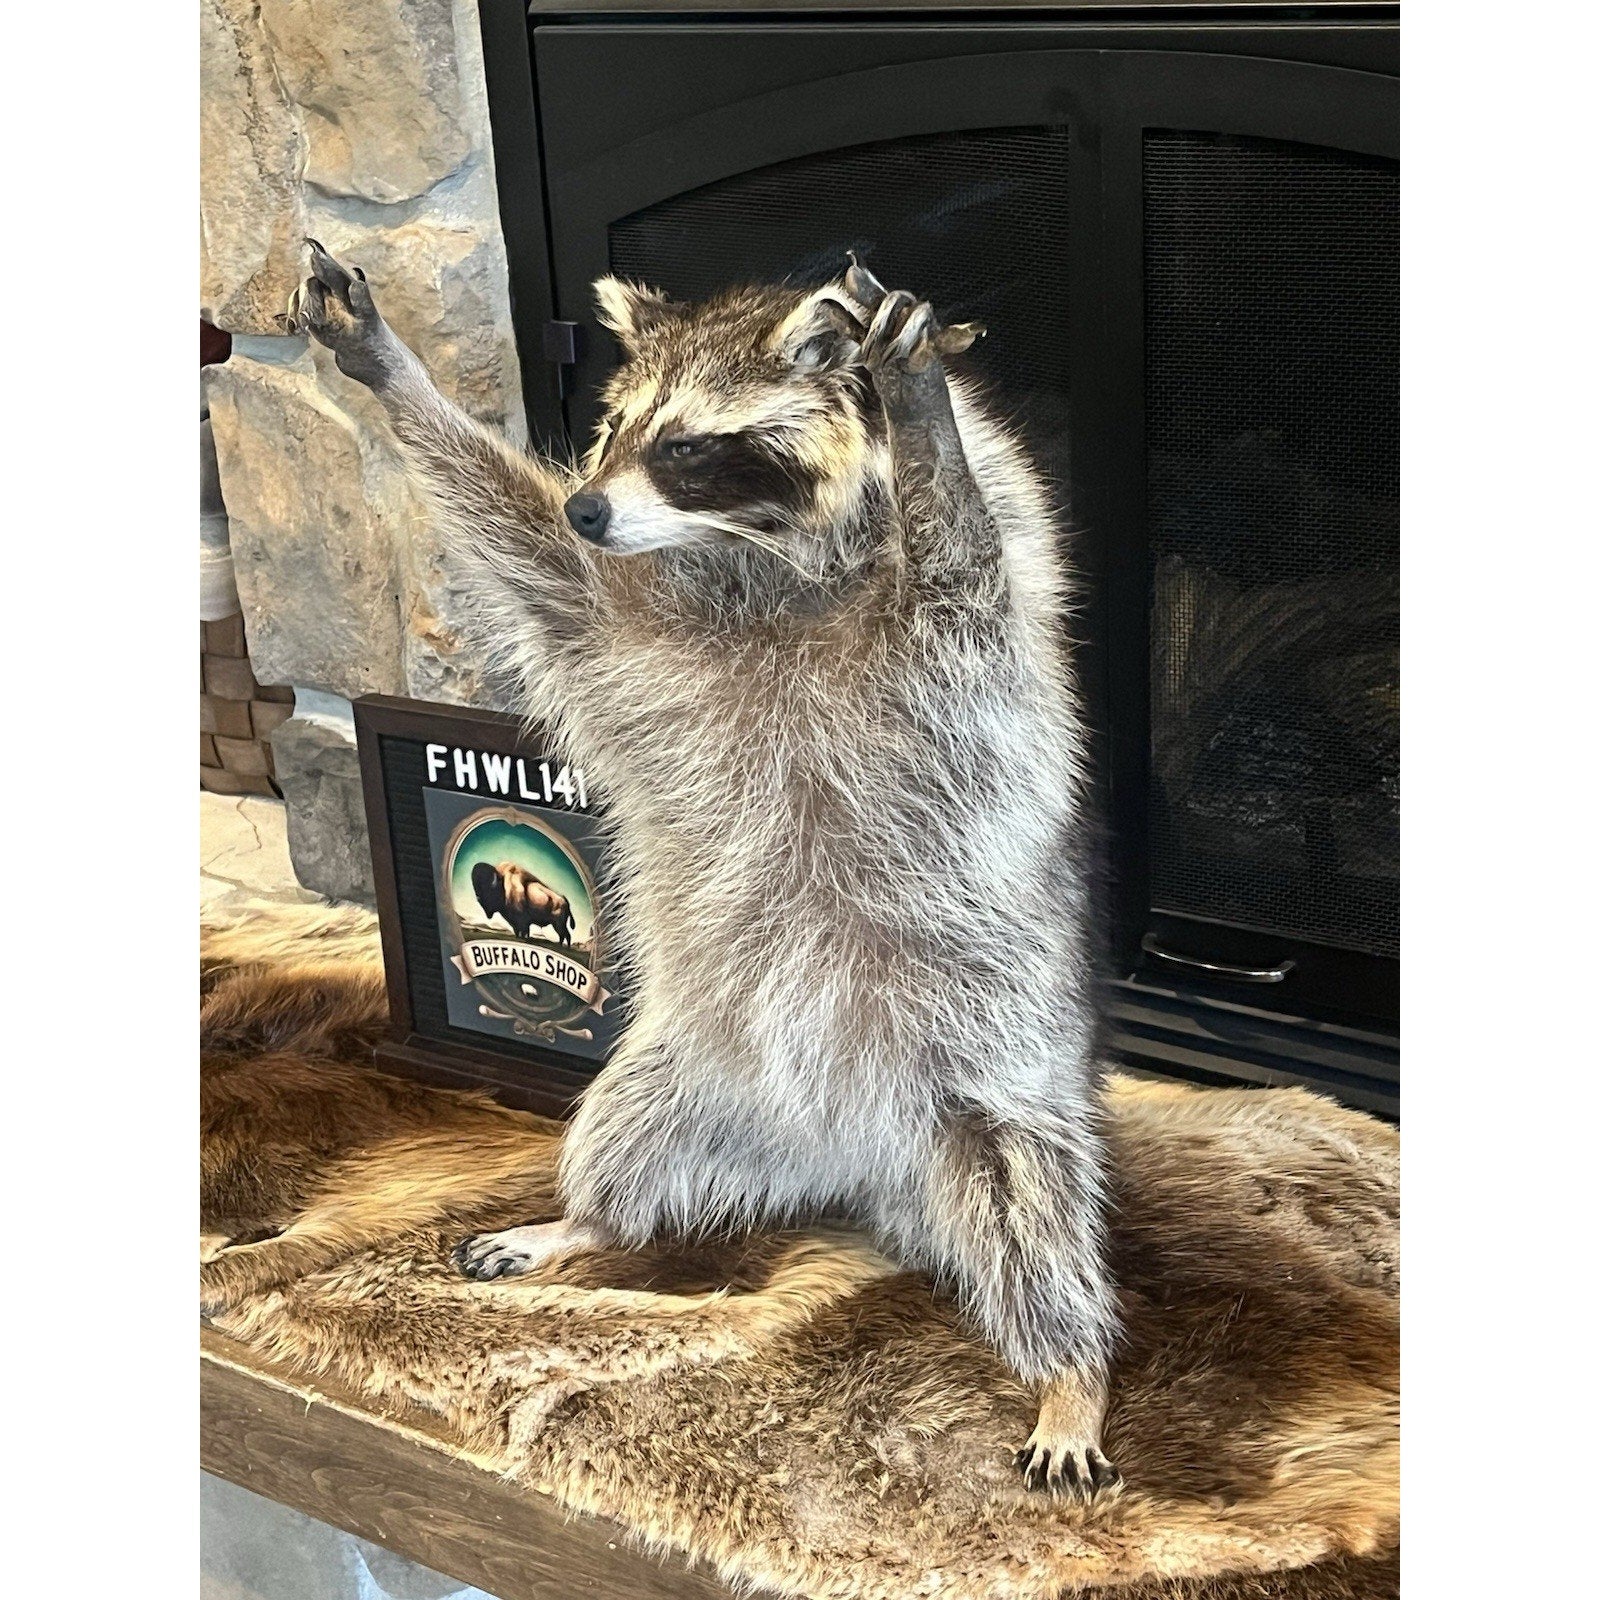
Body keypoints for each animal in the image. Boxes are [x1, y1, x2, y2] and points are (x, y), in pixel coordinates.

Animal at [290, 241, 1121, 1498]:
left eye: (685, 447)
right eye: (610, 430)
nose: (587, 502)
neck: (752, 561)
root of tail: (856, 1159)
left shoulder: (963, 644)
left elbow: (958, 554)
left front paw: (923, 419)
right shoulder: (622, 619)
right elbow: (527, 547)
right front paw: (393, 374)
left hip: (996, 1070)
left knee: (1038, 1214)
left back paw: (1071, 1366)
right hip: (686, 1070)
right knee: (622, 1127)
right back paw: (588, 1220)